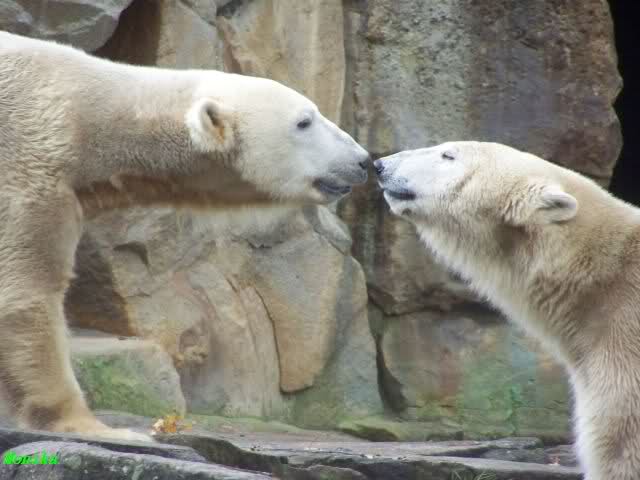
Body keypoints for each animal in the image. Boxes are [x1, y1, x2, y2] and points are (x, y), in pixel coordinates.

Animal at [0, 31, 369, 442]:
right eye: (304, 121)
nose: (363, 160)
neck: (87, 117)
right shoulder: (30, 166)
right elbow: (24, 290)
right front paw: (100, 428)